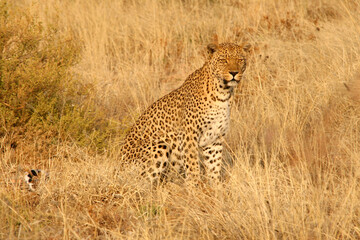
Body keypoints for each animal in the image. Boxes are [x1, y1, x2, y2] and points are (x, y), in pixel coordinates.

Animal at [119, 42, 249, 186]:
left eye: (240, 60)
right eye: (223, 60)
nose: (234, 73)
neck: (223, 93)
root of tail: (116, 169)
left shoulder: (215, 138)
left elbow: (214, 165)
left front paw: (215, 186)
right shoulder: (189, 134)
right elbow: (192, 163)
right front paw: (195, 186)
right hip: (159, 145)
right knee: (140, 182)